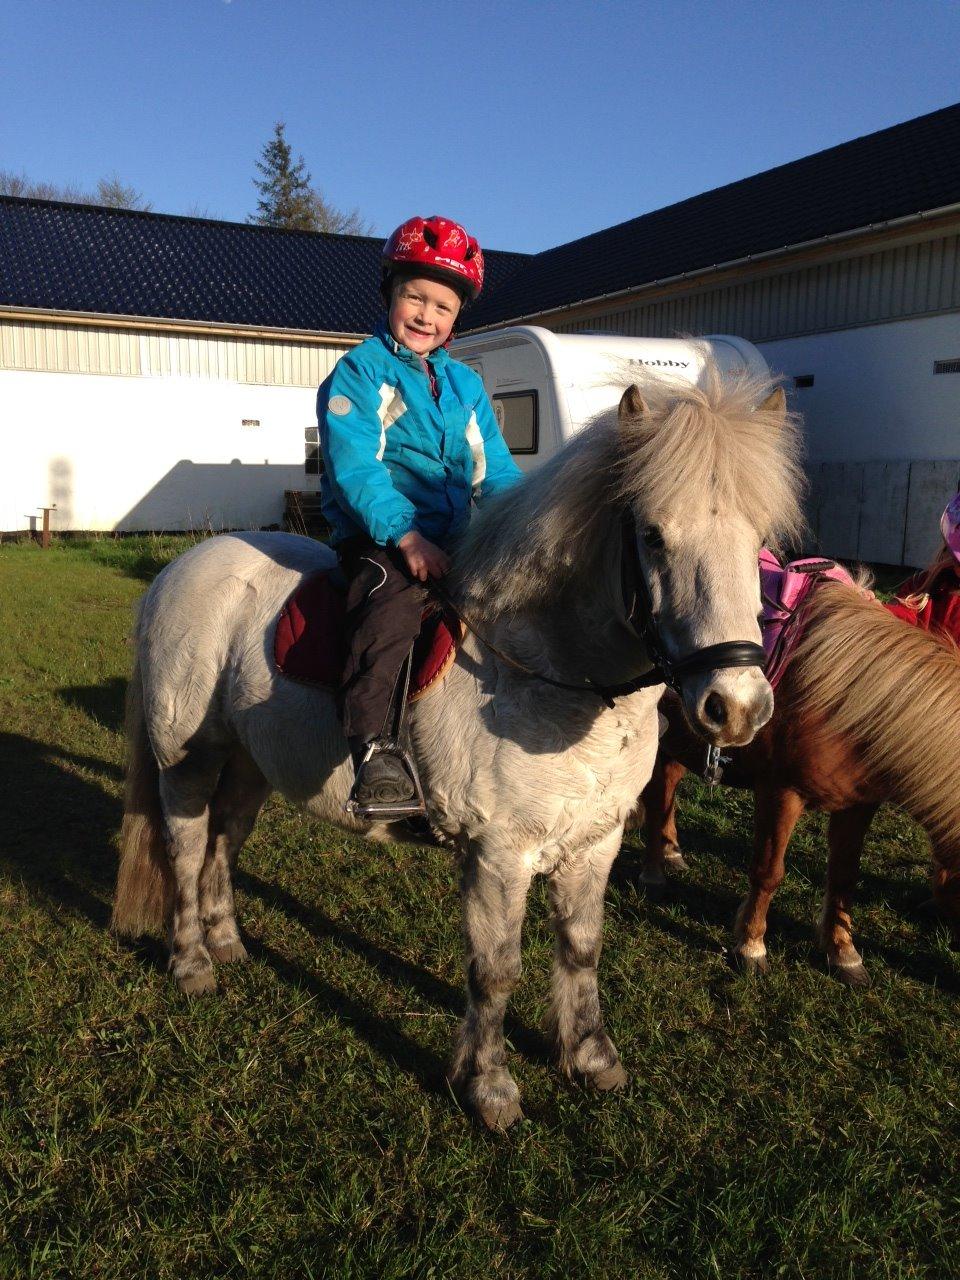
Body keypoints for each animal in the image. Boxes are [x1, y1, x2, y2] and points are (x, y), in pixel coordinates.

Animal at [112, 366, 803, 1126]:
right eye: (652, 536)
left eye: (761, 540)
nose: (735, 707)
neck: (545, 673)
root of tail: (181, 569)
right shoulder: (497, 854)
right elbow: (495, 971)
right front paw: (489, 1086)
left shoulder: (595, 843)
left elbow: (582, 950)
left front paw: (591, 1058)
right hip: (189, 759)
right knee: (183, 847)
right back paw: (191, 963)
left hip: (249, 764)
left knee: (224, 841)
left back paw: (228, 943)